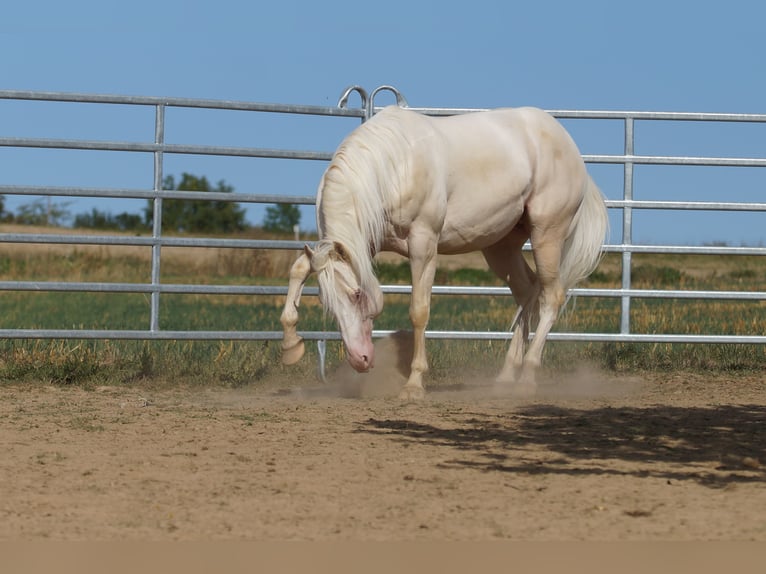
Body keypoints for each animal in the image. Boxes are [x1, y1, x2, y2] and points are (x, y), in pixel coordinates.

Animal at [280, 104, 608, 400]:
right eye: (325, 302)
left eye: (357, 295)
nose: (360, 361)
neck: (393, 167)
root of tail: (567, 142)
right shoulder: (363, 243)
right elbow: (298, 269)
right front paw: (291, 347)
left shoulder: (423, 244)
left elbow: (419, 311)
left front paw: (413, 386)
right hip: (501, 247)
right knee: (526, 291)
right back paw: (506, 376)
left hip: (546, 235)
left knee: (551, 297)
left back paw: (527, 377)